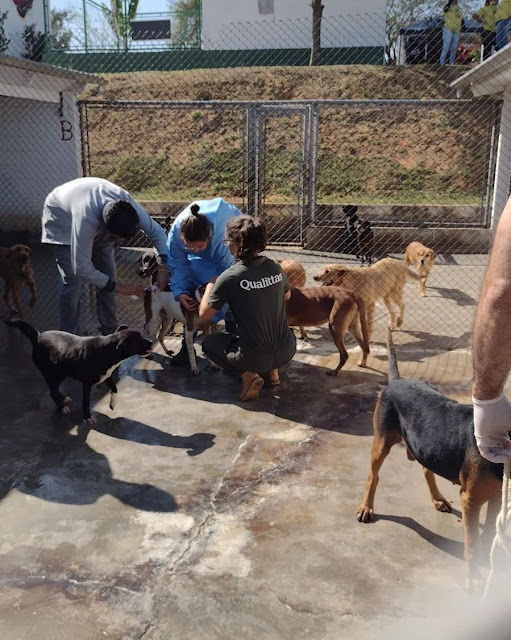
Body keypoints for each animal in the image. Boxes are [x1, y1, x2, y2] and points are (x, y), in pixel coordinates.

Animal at [7, 320, 152, 424]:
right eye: (139, 340)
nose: (151, 342)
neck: (106, 350)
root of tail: (37, 336)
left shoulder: (106, 376)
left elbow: (115, 388)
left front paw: (113, 403)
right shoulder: (87, 383)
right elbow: (86, 401)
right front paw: (87, 417)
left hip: (61, 372)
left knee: (54, 390)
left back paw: (63, 399)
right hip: (49, 373)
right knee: (53, 391)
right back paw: (62, 406)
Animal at [358, 330, 506, 592]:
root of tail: (397, 380)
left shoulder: (497, 496)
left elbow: (489, 534)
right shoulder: (471, 500)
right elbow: (472, 545)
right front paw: (474, 579)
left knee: (427, 471)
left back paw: (438, 498)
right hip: (381, 442)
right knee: (373, 476)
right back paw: (367, 507)